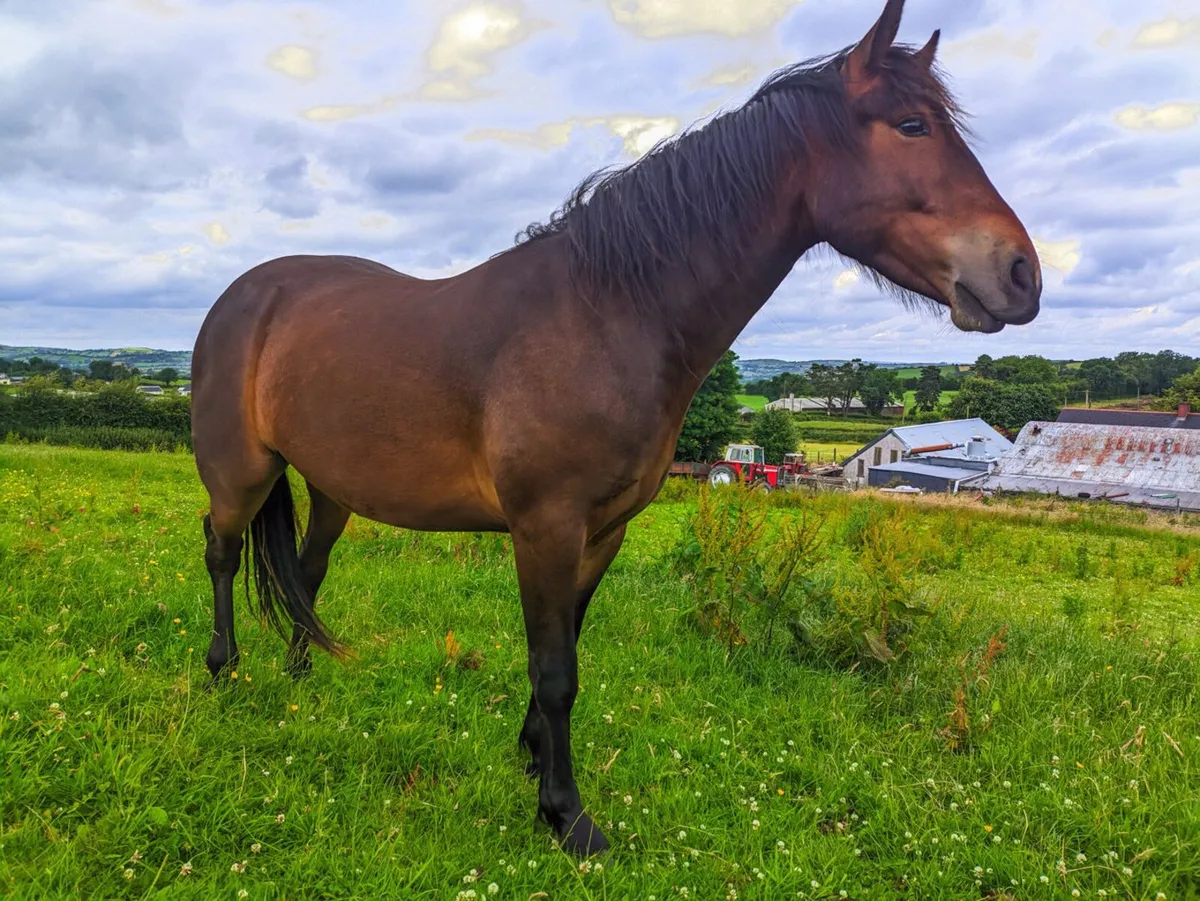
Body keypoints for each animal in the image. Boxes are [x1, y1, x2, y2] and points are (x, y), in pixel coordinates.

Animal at [190, 0, 1041, 857]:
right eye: (912, 125)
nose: (1022, 274)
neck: (608, 314)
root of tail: (245, 295)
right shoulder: (546, 526)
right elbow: (555, 667)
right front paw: (568, 816)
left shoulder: (603, 531)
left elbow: (565, 646)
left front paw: (535, 761)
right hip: (239, 471)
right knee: (222, 551)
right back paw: (223, 668)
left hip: (331, 486)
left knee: (305, 572)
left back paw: (301, 673)